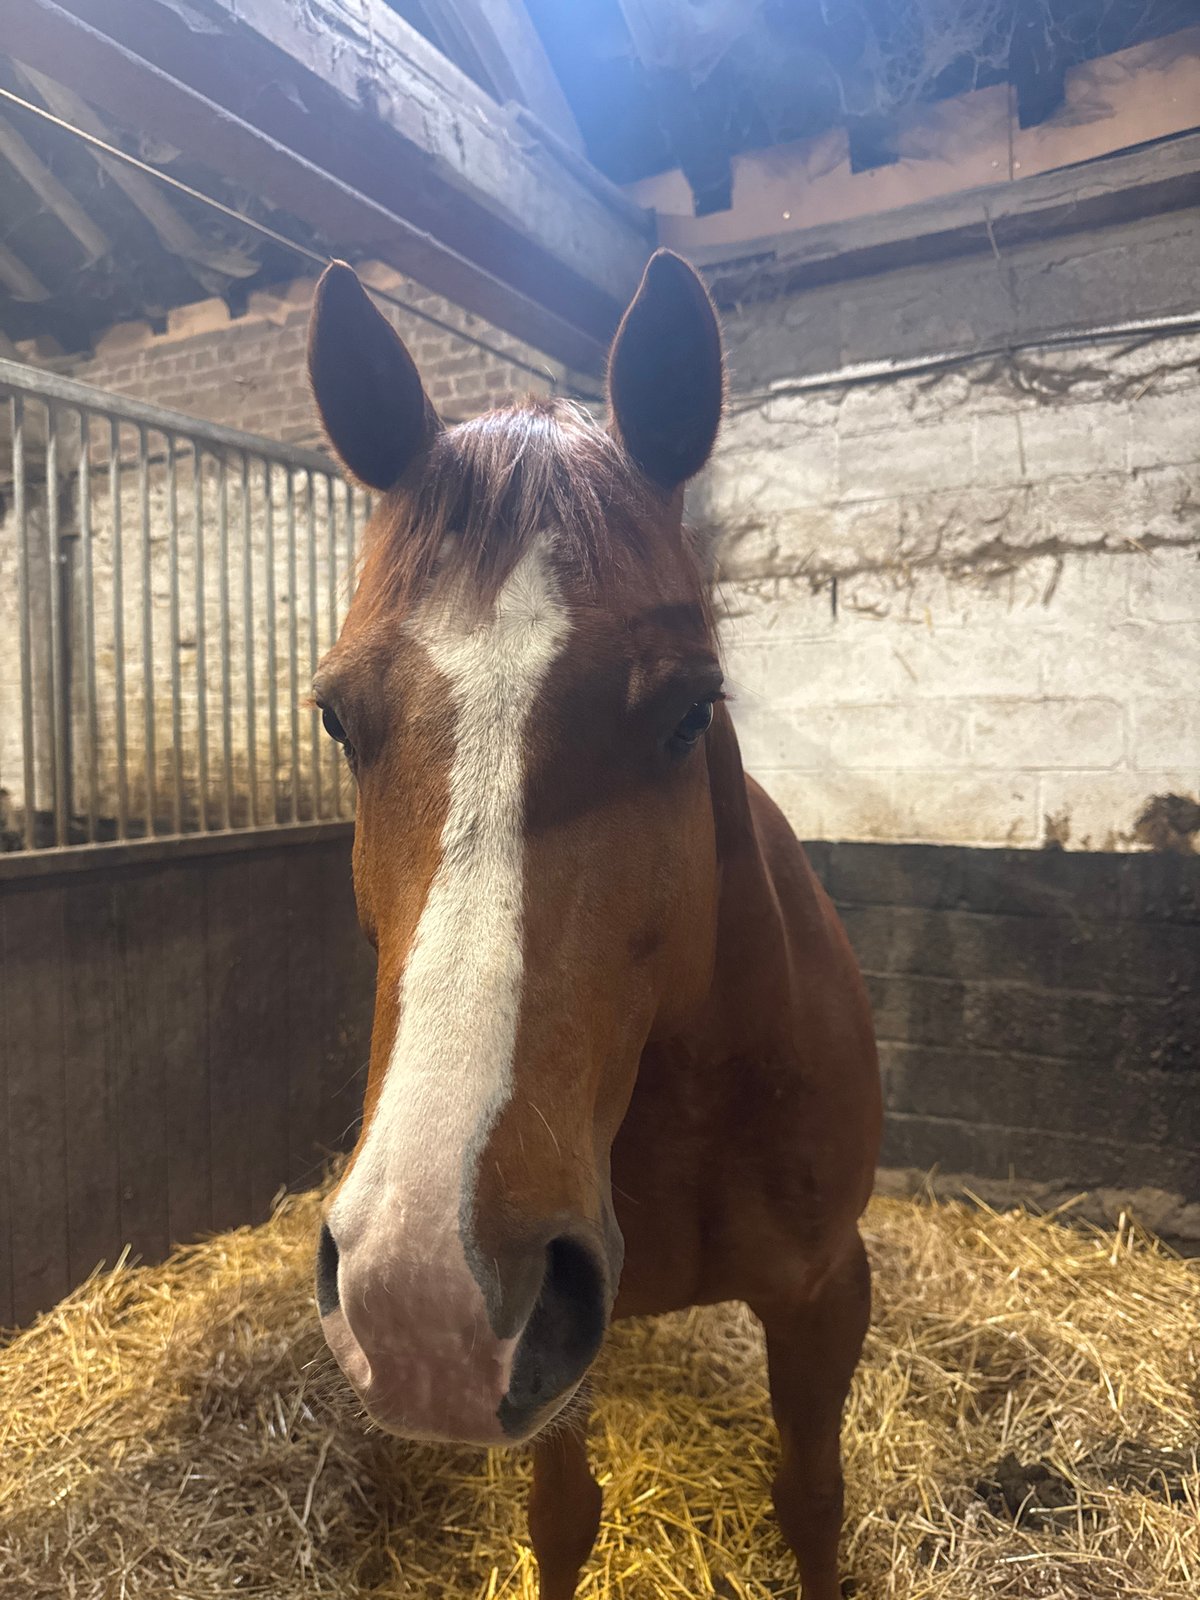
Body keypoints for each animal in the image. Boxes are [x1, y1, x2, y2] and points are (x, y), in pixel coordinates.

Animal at [306, 248, 881, 1600]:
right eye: (337, 719)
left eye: (689, 711)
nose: (420, 1292)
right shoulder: (541, 1354)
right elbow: (564, 1517)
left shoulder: (830, 1293)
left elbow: (812, 1501)